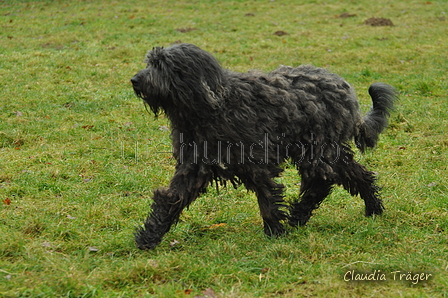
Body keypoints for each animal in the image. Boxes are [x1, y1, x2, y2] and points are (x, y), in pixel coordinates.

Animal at [130, 43, 396, 250]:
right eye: (151, 62)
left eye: (162, 65)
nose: (135, 80)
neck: (213, 107)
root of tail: (344, 86)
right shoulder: (193, 167)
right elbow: (171, 198)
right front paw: (149, 237)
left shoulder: (256, 162)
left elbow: (268, 195)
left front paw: (275, 232)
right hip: (323, 151)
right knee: (352, 175)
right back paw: (367, 209)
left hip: (318, 150)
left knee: (325, 181)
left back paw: (304, 215)